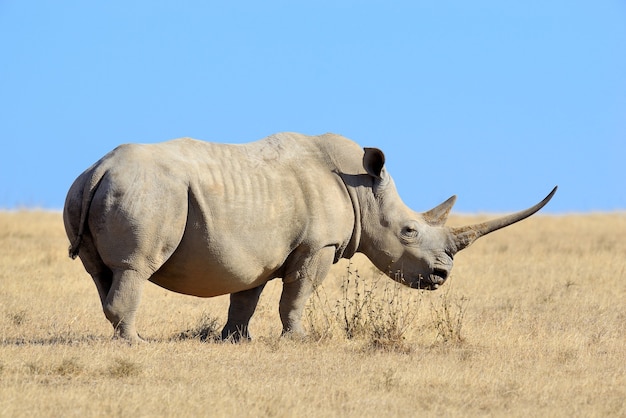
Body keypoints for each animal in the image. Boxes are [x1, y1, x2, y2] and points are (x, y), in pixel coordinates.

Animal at [63, 133, 552, 342]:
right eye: (409, 231)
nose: (442, 275)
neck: (364, 191)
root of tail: (100, 168)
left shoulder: (257, 251)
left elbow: (246, 297)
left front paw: (235, 340)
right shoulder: (318, 245)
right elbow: (296, 294)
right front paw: (296, 339)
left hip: (89, 188)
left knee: (99, 272)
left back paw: (123, 336)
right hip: (147, 191)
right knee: (133, 268)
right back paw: (135, 343)